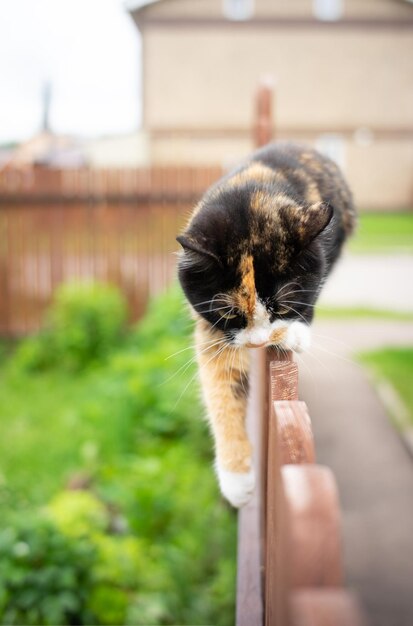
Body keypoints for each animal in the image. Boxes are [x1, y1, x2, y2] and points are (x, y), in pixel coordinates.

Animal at [176, 141, 354, 508]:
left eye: (283, 304)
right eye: (229, 313)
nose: (258, 343)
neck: (251, 192)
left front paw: (295, 332)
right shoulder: (214, 330)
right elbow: (222, 385)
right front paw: (237, 480)